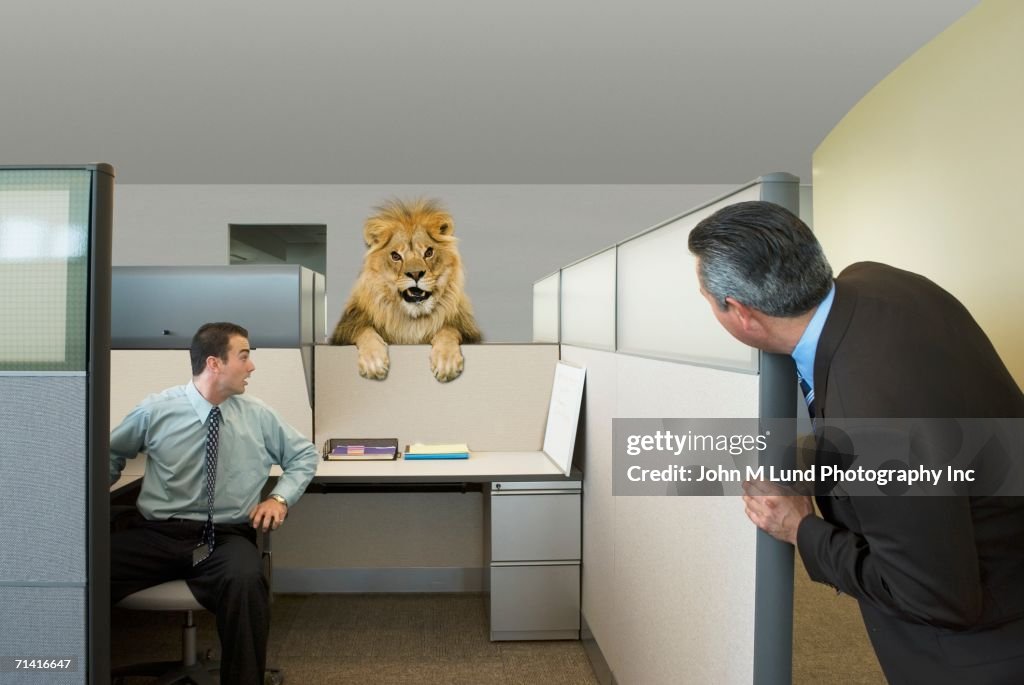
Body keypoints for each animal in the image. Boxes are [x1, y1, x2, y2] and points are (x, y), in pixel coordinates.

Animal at [331, 197, 483, 382]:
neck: (413, 320)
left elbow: (449, 329)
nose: (415, 274)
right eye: (396, 256)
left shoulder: (469, 333)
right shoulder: (345, 328)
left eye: (429, 252)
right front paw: (373, 361)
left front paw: (446, 361)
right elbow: (363, 330)